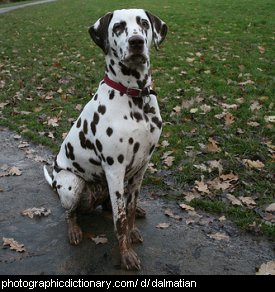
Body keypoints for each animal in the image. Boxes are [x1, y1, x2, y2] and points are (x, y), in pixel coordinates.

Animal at [43, 8, 168, 270]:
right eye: (118, 27)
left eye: (143, 23)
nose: (136, 42)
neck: (135, 97)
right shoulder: (115, 169)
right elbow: (120, 220)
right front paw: (126, 254)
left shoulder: (141, 167)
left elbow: (128, 211)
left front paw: (132, 229)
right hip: (72, 185)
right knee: (69, 213)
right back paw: (73, 229)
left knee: (111, 208)